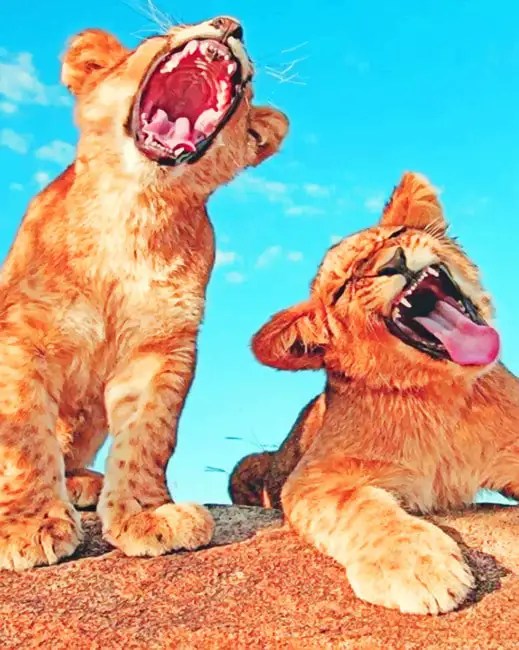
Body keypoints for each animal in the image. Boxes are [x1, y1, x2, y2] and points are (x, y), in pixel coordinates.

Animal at [0, 16, 288, 570]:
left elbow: (150, 433)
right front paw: (27, 524)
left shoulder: (162, 346)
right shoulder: (21, 335)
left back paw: (84, 484)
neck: (135, 210)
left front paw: (147, 516)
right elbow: (23, 432)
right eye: (156, 38)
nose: (230, 23)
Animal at [230, 172, 519, 615]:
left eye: (397, 235)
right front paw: (418, 569)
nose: (393, 262)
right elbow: (360, 506)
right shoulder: (313, 477)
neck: (442, 395)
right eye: (345, 286)